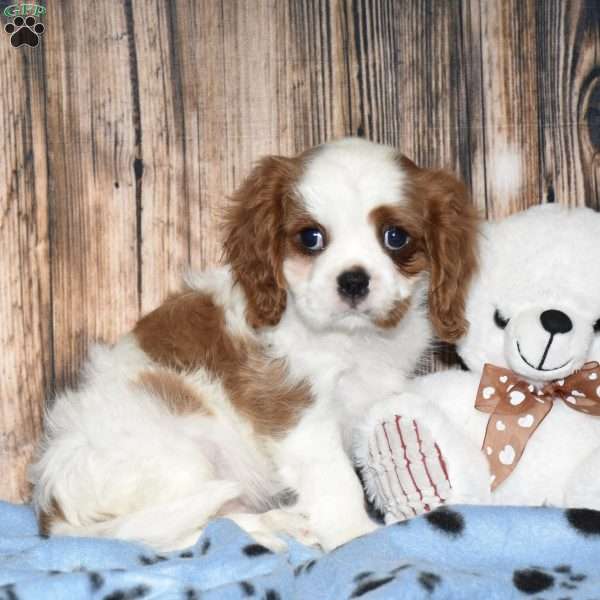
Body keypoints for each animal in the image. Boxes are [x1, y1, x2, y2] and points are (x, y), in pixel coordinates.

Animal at [30, 138, 478, 552]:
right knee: (166, 535)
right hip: (179, 454)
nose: (353, 280)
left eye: (395, 237)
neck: (352, 341)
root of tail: (54, 509)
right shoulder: (296, 412)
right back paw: (264, 534)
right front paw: (354, 536)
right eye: (311, 237)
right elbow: (336, 479)